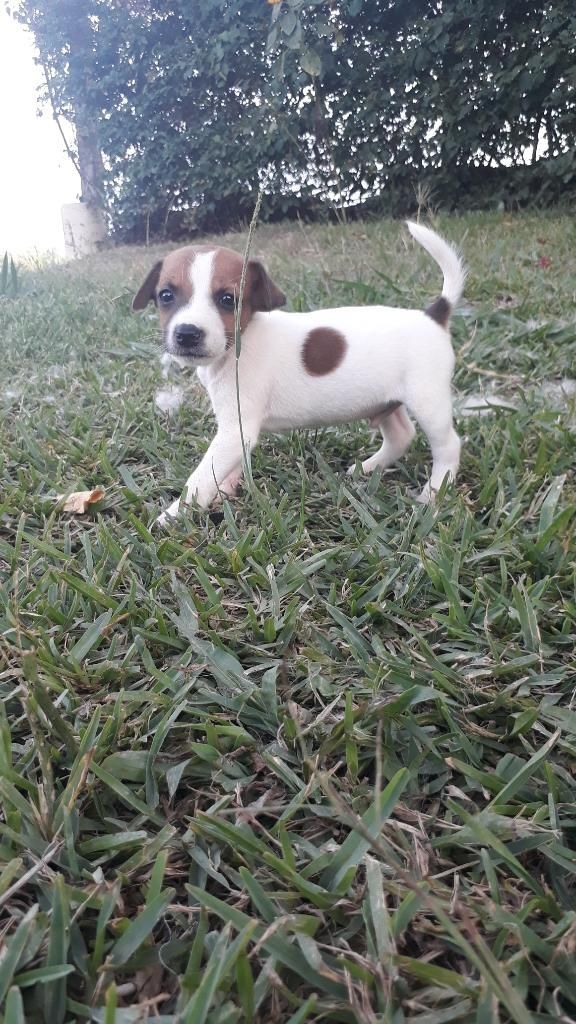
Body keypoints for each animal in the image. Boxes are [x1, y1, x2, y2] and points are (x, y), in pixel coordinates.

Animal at [132, 221, 463, 524]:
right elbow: (226, 466)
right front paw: (225, 488)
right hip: (383, 401)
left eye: (228, 299)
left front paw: (174, 515)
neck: (241, 340)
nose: (187, 333)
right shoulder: (236, 431)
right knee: (401, 436)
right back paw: (368, 468)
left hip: (428, 402)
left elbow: (200, 477)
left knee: (448, 446)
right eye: (165, 296)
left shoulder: (235, 430)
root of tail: (433, 316)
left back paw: (432, 494)